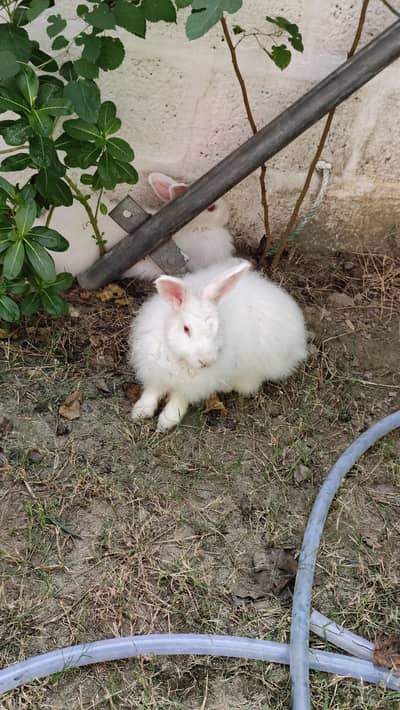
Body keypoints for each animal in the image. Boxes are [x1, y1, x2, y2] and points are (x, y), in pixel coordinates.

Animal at [128, 258, 307, 431]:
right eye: (186, 329)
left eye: (218, 327)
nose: (206, 361)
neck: (179, 359)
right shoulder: (155, 373)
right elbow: (151, 392)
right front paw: (140, 412)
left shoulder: (191, 386)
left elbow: (179, 399)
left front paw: (166, 421)